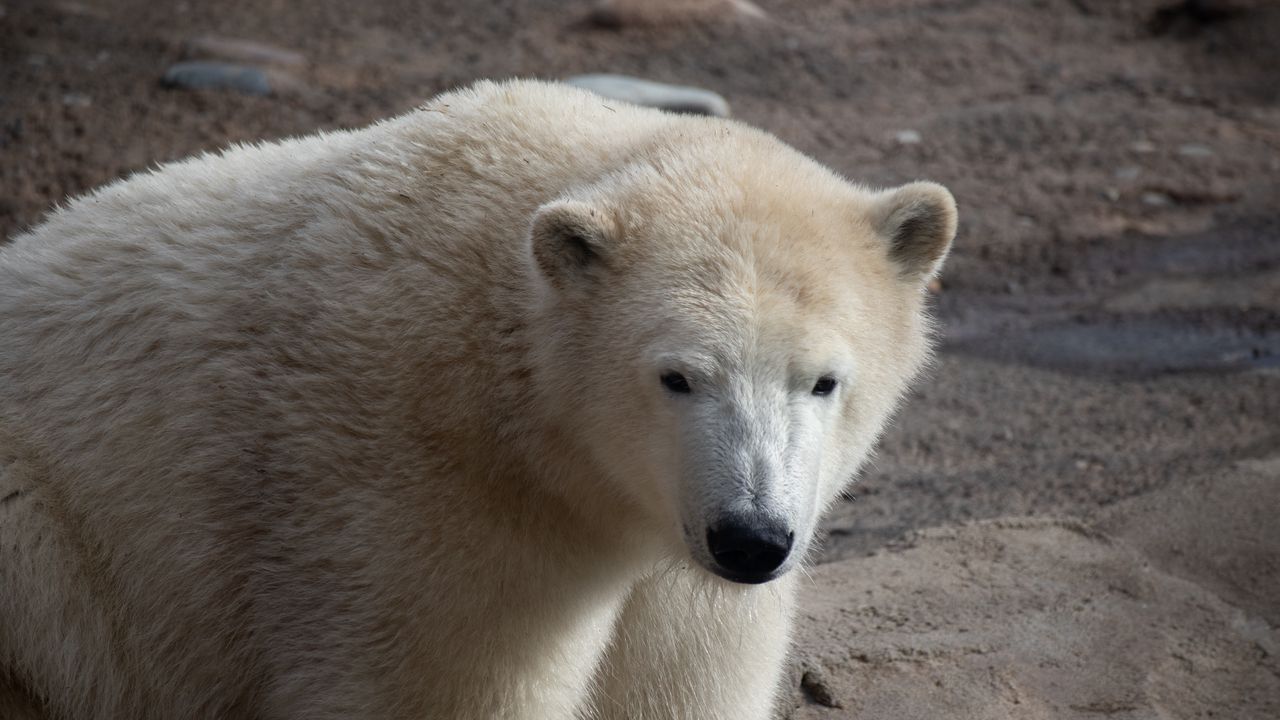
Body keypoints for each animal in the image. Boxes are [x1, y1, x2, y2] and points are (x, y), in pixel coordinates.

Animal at [0, 79, 957, 717]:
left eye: (824, 379)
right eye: (678, 375)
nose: (751, 538)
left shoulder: (682, 574)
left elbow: (678, 678)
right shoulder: (423, 511)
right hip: (49, 556)